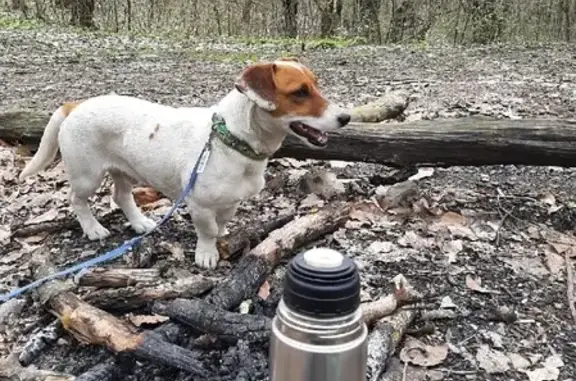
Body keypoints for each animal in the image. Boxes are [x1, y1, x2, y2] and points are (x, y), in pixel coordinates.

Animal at [18, 58, 352, 268]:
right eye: (299, 92)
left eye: (316, 86)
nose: (346, 117)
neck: (231, 139)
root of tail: (75, 105)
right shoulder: (199, 205)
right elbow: (207, 231)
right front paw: (206, 254)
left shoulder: (230, 202)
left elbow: (221, 225)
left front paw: (222, 239)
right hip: (86, 175)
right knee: (77, 200)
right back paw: (93, 229)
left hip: (126, 172)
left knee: (121, 196)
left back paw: (140, 223)